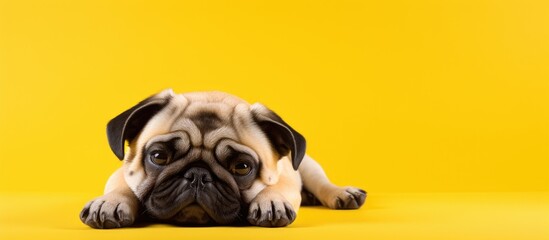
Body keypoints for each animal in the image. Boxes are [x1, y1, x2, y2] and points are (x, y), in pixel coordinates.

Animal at [79, 89, 366, 229]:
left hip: (306, 166)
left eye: (242, 167)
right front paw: (110, 202)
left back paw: (342, 193)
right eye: (159, 157)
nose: (197, 175)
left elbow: (276, 188)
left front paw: (270, 200)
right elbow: (123, 186)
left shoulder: (287, 177)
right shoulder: (121, 173)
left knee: (321, 183)